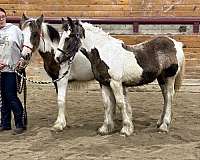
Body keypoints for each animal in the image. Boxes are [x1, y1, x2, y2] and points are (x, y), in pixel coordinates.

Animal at [54, 16, 184, 136]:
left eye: (68, 38)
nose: (57, 58)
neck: (105, 53)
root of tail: (176, 44)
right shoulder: (104, 83)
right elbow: (107, 104)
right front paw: (105, 128)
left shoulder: (115, 83)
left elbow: (121, 103)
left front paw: (126, 129)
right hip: (161, 78)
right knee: (165, 98)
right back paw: (160, 122)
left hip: (170, 77)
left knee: (169, 97)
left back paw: (164, 126)